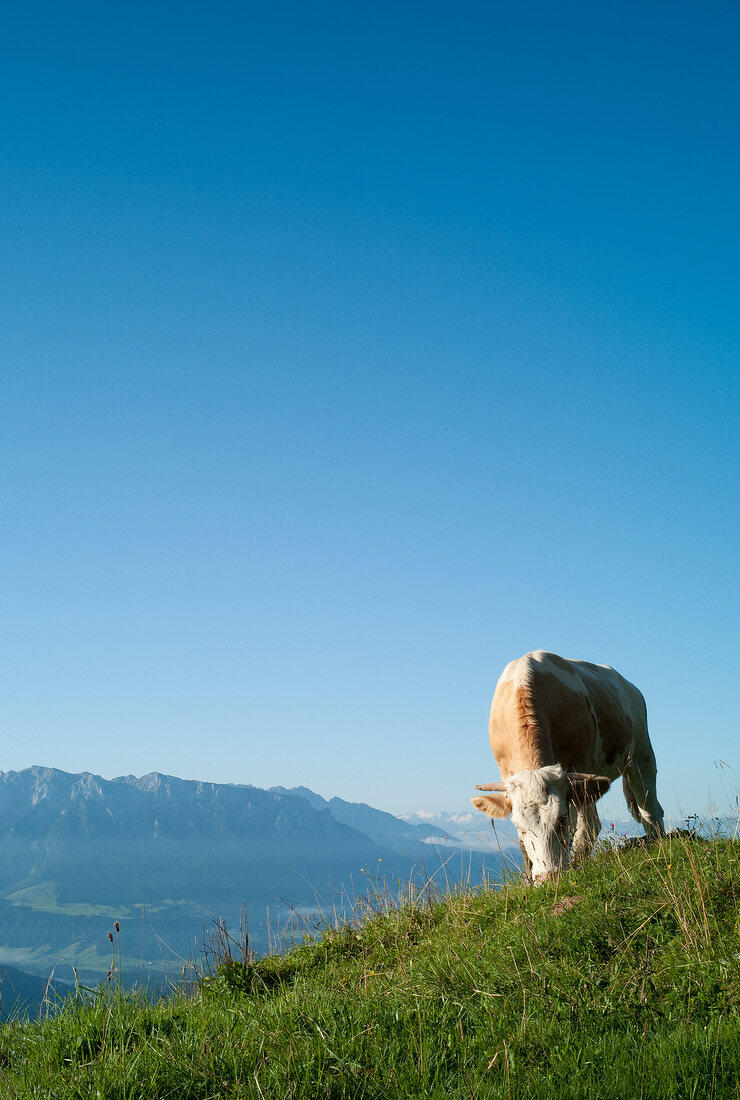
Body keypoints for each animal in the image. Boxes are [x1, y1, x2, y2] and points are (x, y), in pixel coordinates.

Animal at [472, 651, 664, 884]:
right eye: (519, 826)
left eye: (561, 819)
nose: (549, 877)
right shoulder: (505, 773)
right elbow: (524, 848)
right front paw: (527, 881)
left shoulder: (579, 768)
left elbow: (581, 829)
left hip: (641, 755)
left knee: (647, 807)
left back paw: (656, 841)